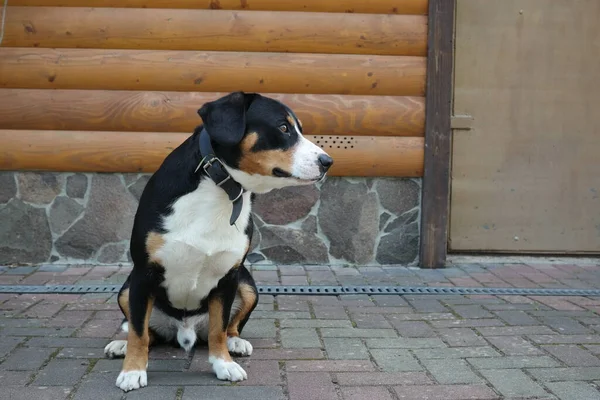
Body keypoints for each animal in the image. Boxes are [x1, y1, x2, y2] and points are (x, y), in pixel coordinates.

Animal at [105, 90, 336, 390]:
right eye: (283, 128)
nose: (327, 162)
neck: (220, 190)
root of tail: (183, 332)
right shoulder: (144, 273)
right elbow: (138, 331)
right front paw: (132, 371)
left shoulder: (228, 276)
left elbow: (218, 328)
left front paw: (223, 364)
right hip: (127, 288)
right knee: (145, 330)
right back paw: (120, 345)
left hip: (248, 286)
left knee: (229, 327)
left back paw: (236, 342)